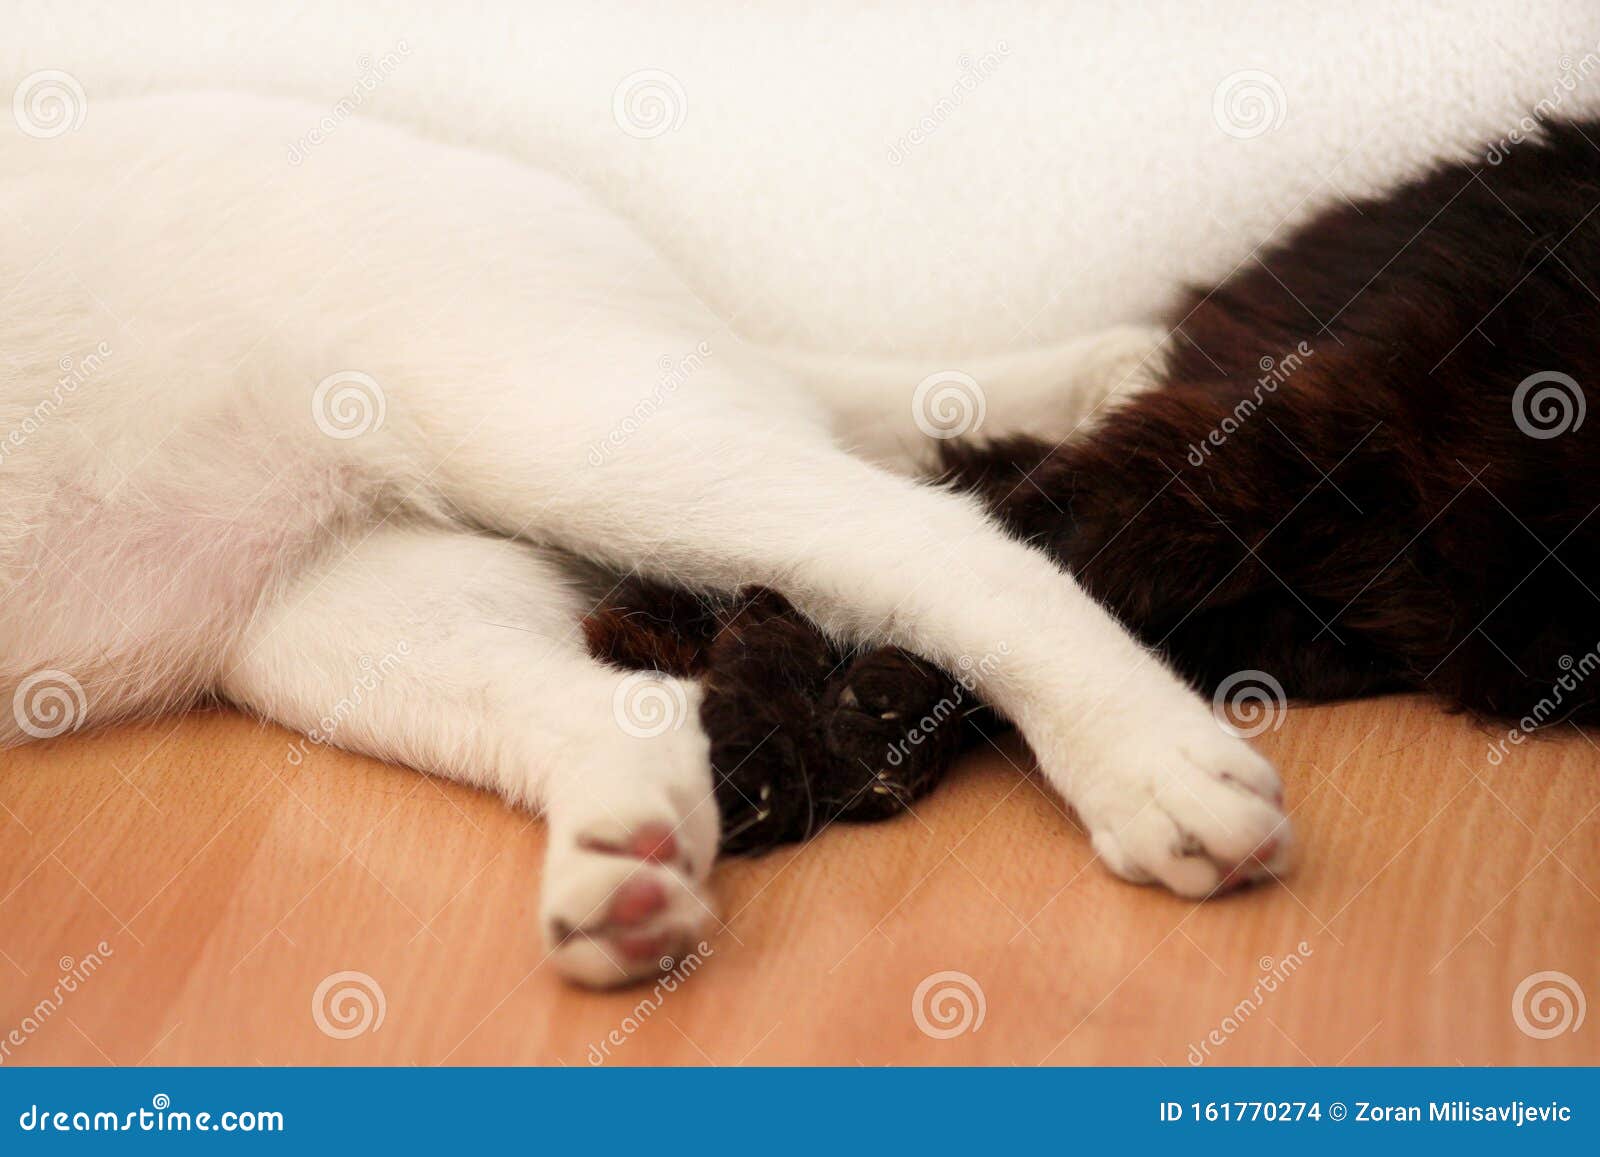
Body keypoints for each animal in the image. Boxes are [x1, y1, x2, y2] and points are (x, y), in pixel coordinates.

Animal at [0, 95, 1286, 992]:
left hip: (562, 429)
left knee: (943, 543)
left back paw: (1152, 767)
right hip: (332, 615)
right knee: (636, 706)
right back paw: (621, 867)